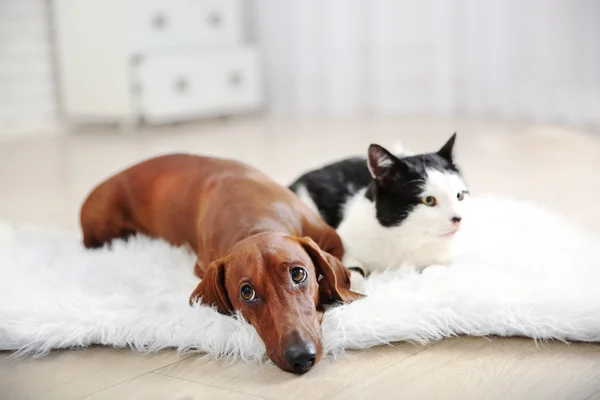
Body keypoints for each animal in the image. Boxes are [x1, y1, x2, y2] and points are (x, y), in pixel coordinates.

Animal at [290, 134, 468, 288]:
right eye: (429, 200)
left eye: (459, 195)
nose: (458, 218)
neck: (405, 240)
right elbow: (351, 271)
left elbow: (436, 268)